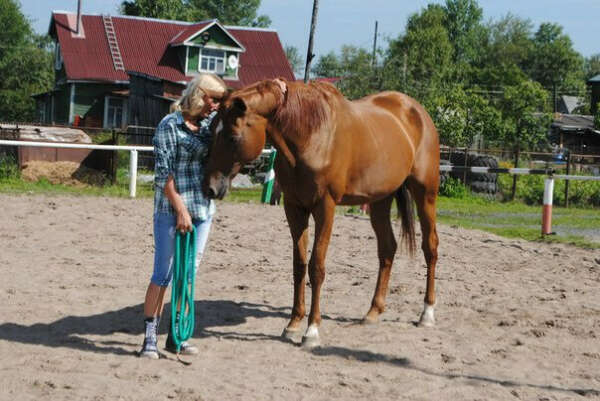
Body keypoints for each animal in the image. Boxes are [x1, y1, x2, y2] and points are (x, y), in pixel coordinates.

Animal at [204, 78, 438, 346]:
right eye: (211, 131)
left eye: (232, 137)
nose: (209, 187)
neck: (310, 133)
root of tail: (417, 112)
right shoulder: (294, 207)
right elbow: (299, 264)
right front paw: (293, 324)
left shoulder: (325, 207)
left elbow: (317, 266)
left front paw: (312, 330)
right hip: (379, 200)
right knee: (387, 248)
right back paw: (373, 312)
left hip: (425, 194)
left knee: (430, 247)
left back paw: (427, 313)